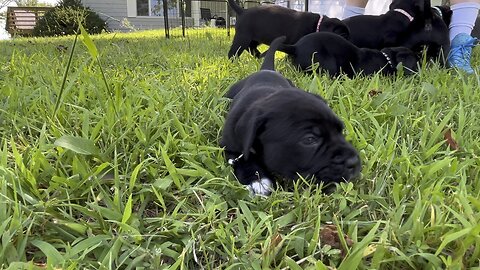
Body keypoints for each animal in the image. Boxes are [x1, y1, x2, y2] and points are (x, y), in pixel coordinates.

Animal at [221, 36, 360, 196]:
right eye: (310, 140)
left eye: (340, 131)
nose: (354, 161)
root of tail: (266, 70)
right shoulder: (229, 145)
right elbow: (242, 158)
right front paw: (257, 180)